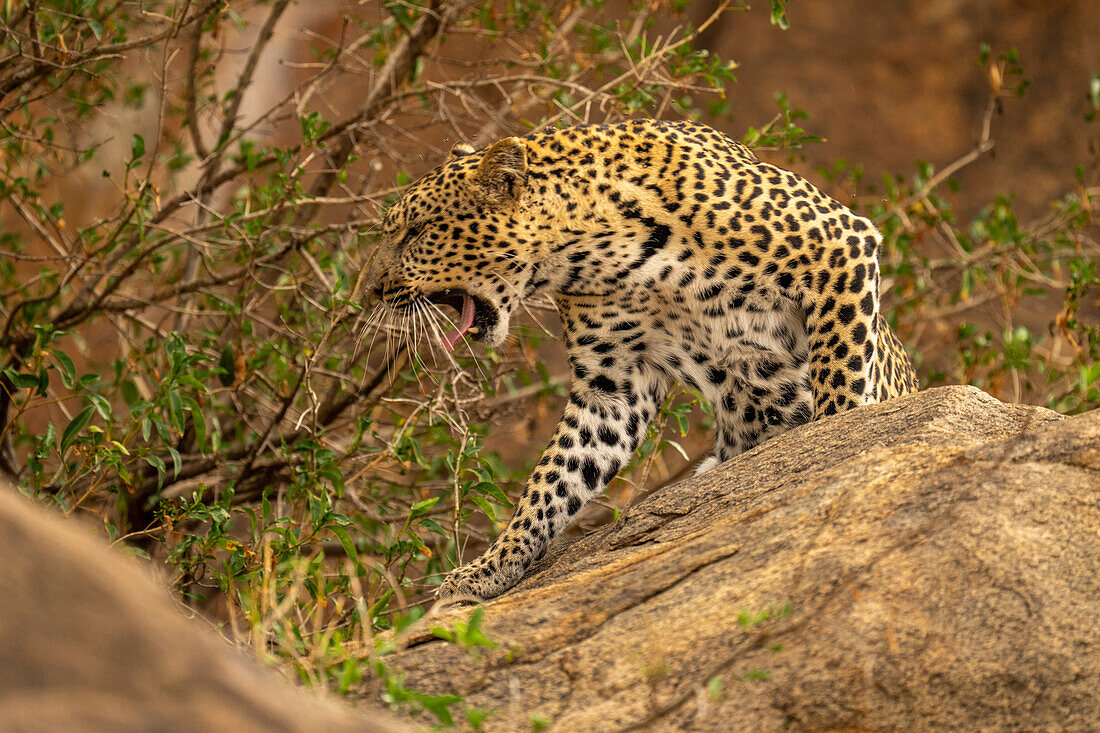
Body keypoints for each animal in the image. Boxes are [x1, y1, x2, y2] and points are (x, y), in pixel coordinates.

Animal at [369, 118, 919, 598]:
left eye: (416, 232)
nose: (373, 288)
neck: (600, 251)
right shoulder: (614, 383)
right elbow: (553, 478)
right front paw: (491, 567)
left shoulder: (838, 246)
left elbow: (840, 376)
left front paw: (833, 449)